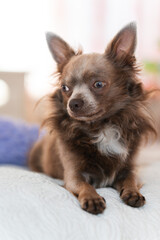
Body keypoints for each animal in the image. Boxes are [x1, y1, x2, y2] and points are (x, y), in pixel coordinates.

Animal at [28, 22, 156, 214]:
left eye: (98, 84)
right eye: (65, 88)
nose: (73, 103)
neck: (102, 127)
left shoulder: (129, 168)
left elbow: (130, 180)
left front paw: (133, 193)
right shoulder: (73, 175)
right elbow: (84, 185)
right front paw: (92, 198)